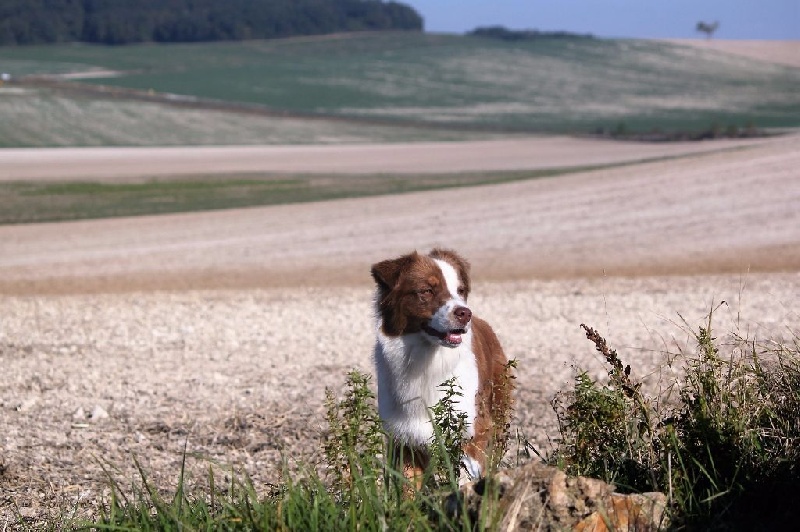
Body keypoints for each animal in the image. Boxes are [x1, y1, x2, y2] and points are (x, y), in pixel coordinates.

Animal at [370, 247, 512, 484]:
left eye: (460, 290)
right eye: (427, 291)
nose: (465, 313)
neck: (428, 363)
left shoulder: (471, 432)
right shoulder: (404, 440)